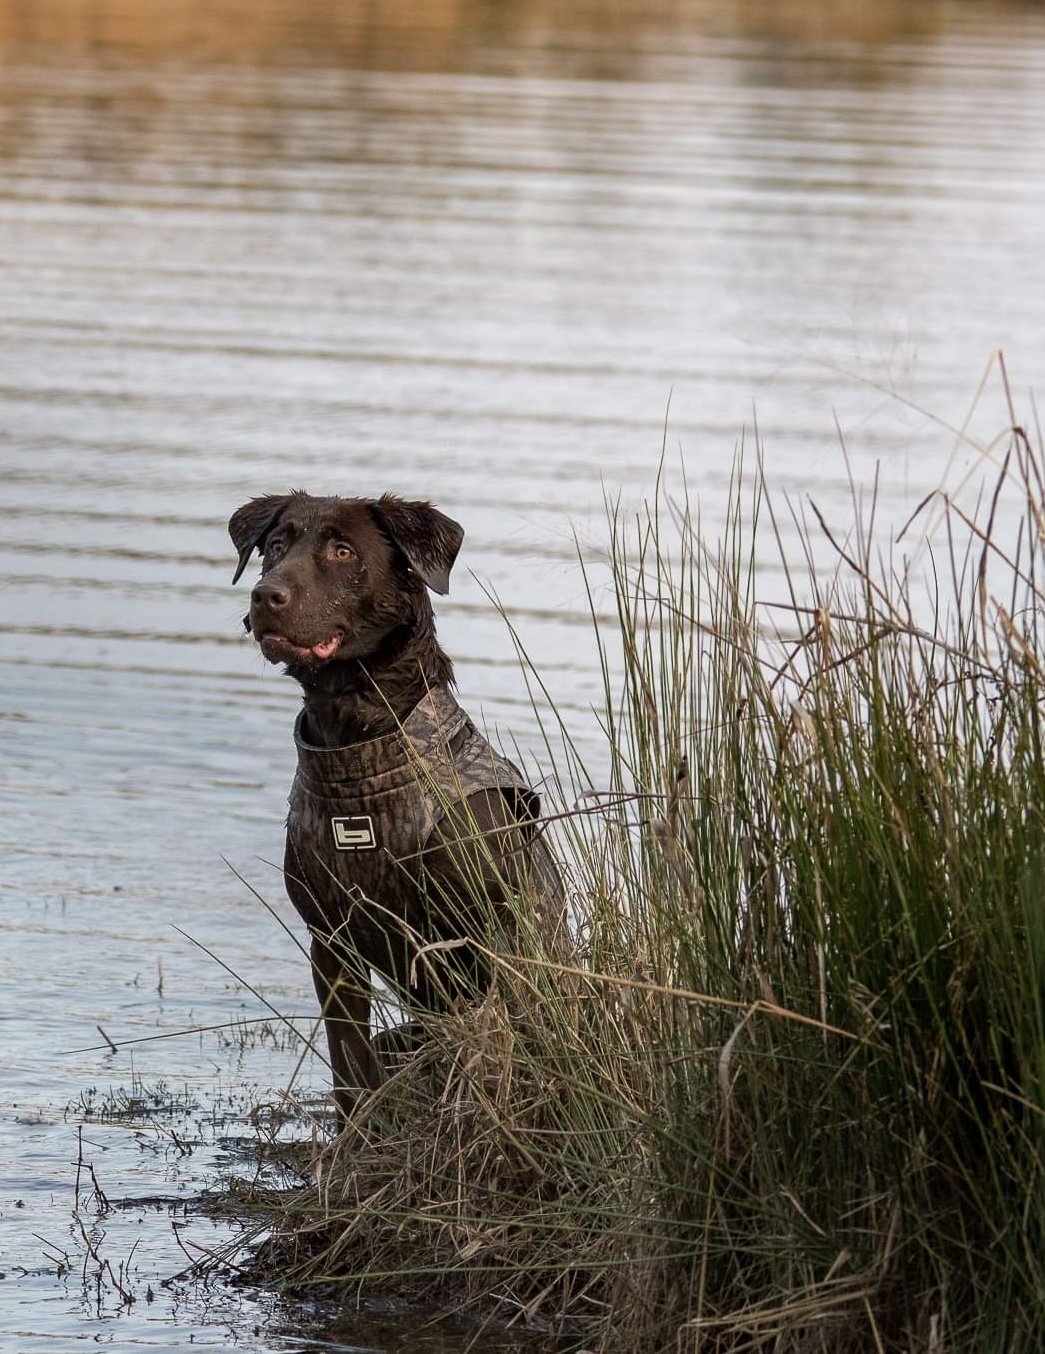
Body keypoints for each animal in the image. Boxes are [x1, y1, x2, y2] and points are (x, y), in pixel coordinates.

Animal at [228, 492, 554, 1115]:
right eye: (275, 545)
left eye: (343, 551)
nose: (265, 596)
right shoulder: (331, 944)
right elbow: (351, 1070)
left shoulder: (495, 933)